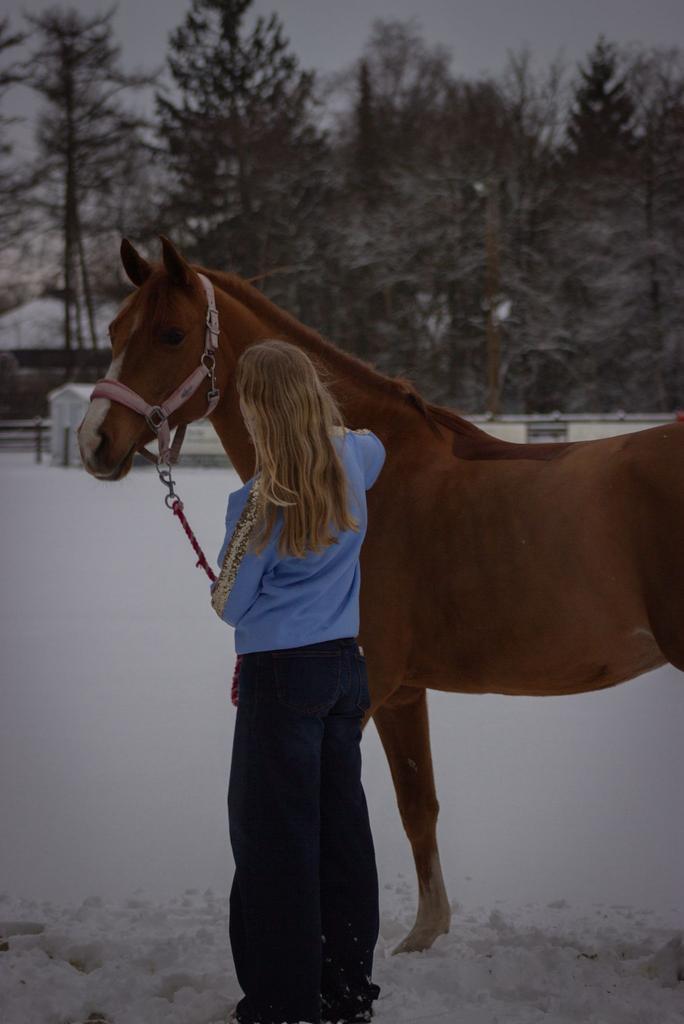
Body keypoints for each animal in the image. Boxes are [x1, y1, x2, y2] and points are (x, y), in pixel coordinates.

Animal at [77, 235, 684, 955]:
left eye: (170, 334)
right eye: (114, 331)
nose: (94, 440)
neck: (357, 476)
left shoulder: (365, 689)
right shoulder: (403, 692)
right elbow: (418, 805)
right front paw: (425, 935)